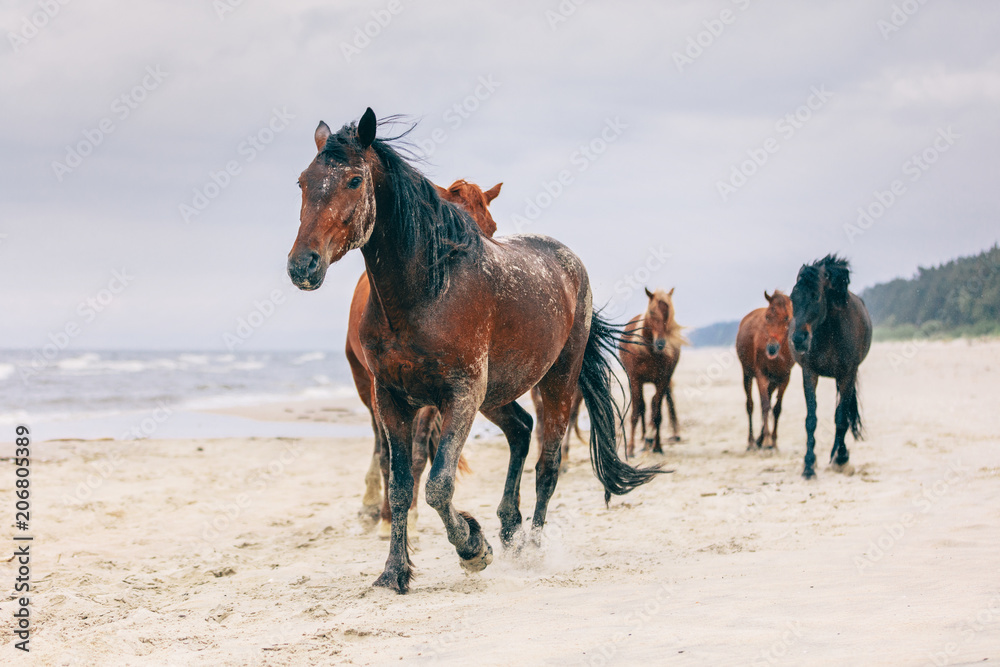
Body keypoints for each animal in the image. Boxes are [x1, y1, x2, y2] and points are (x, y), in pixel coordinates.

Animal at [350, 179, 504, 536]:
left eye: (491, 228)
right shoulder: (384, 390)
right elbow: (390, 456)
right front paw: (387, 519)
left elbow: (418, 455)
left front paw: (410, 515)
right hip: (364, 384)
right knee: (378, 442)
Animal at [616, 290, 688, 456]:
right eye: (652, 312)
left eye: (668, 314)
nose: (661, 343)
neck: (649, 352)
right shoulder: (635, 379)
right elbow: (636, 412)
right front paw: (630, 448)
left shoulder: (662, 381)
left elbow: (657, 414)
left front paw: (657, 446)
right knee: (642, 405)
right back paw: (643, 439)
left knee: (654, 404)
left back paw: (649, 441)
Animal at [732, 290, 792, 452]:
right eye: (767, 317)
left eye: (787, 318)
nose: (771, 347)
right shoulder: (761, 375)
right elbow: (764, 406)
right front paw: (766, 441)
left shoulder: (785, 378)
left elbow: (777, 408)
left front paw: (773, 441)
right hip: (747, 374)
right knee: (751, 405)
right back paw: (752, 441)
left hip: (774, 380)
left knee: (769, 400)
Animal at [788, 256, 868, 480]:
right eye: (792, 298)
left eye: (816, 296)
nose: (798, 339)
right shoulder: (809, 373)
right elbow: (811, 419)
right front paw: (808, 465)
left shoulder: (847, 374)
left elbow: (841, 418)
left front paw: (841, 458)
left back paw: (838, 455)